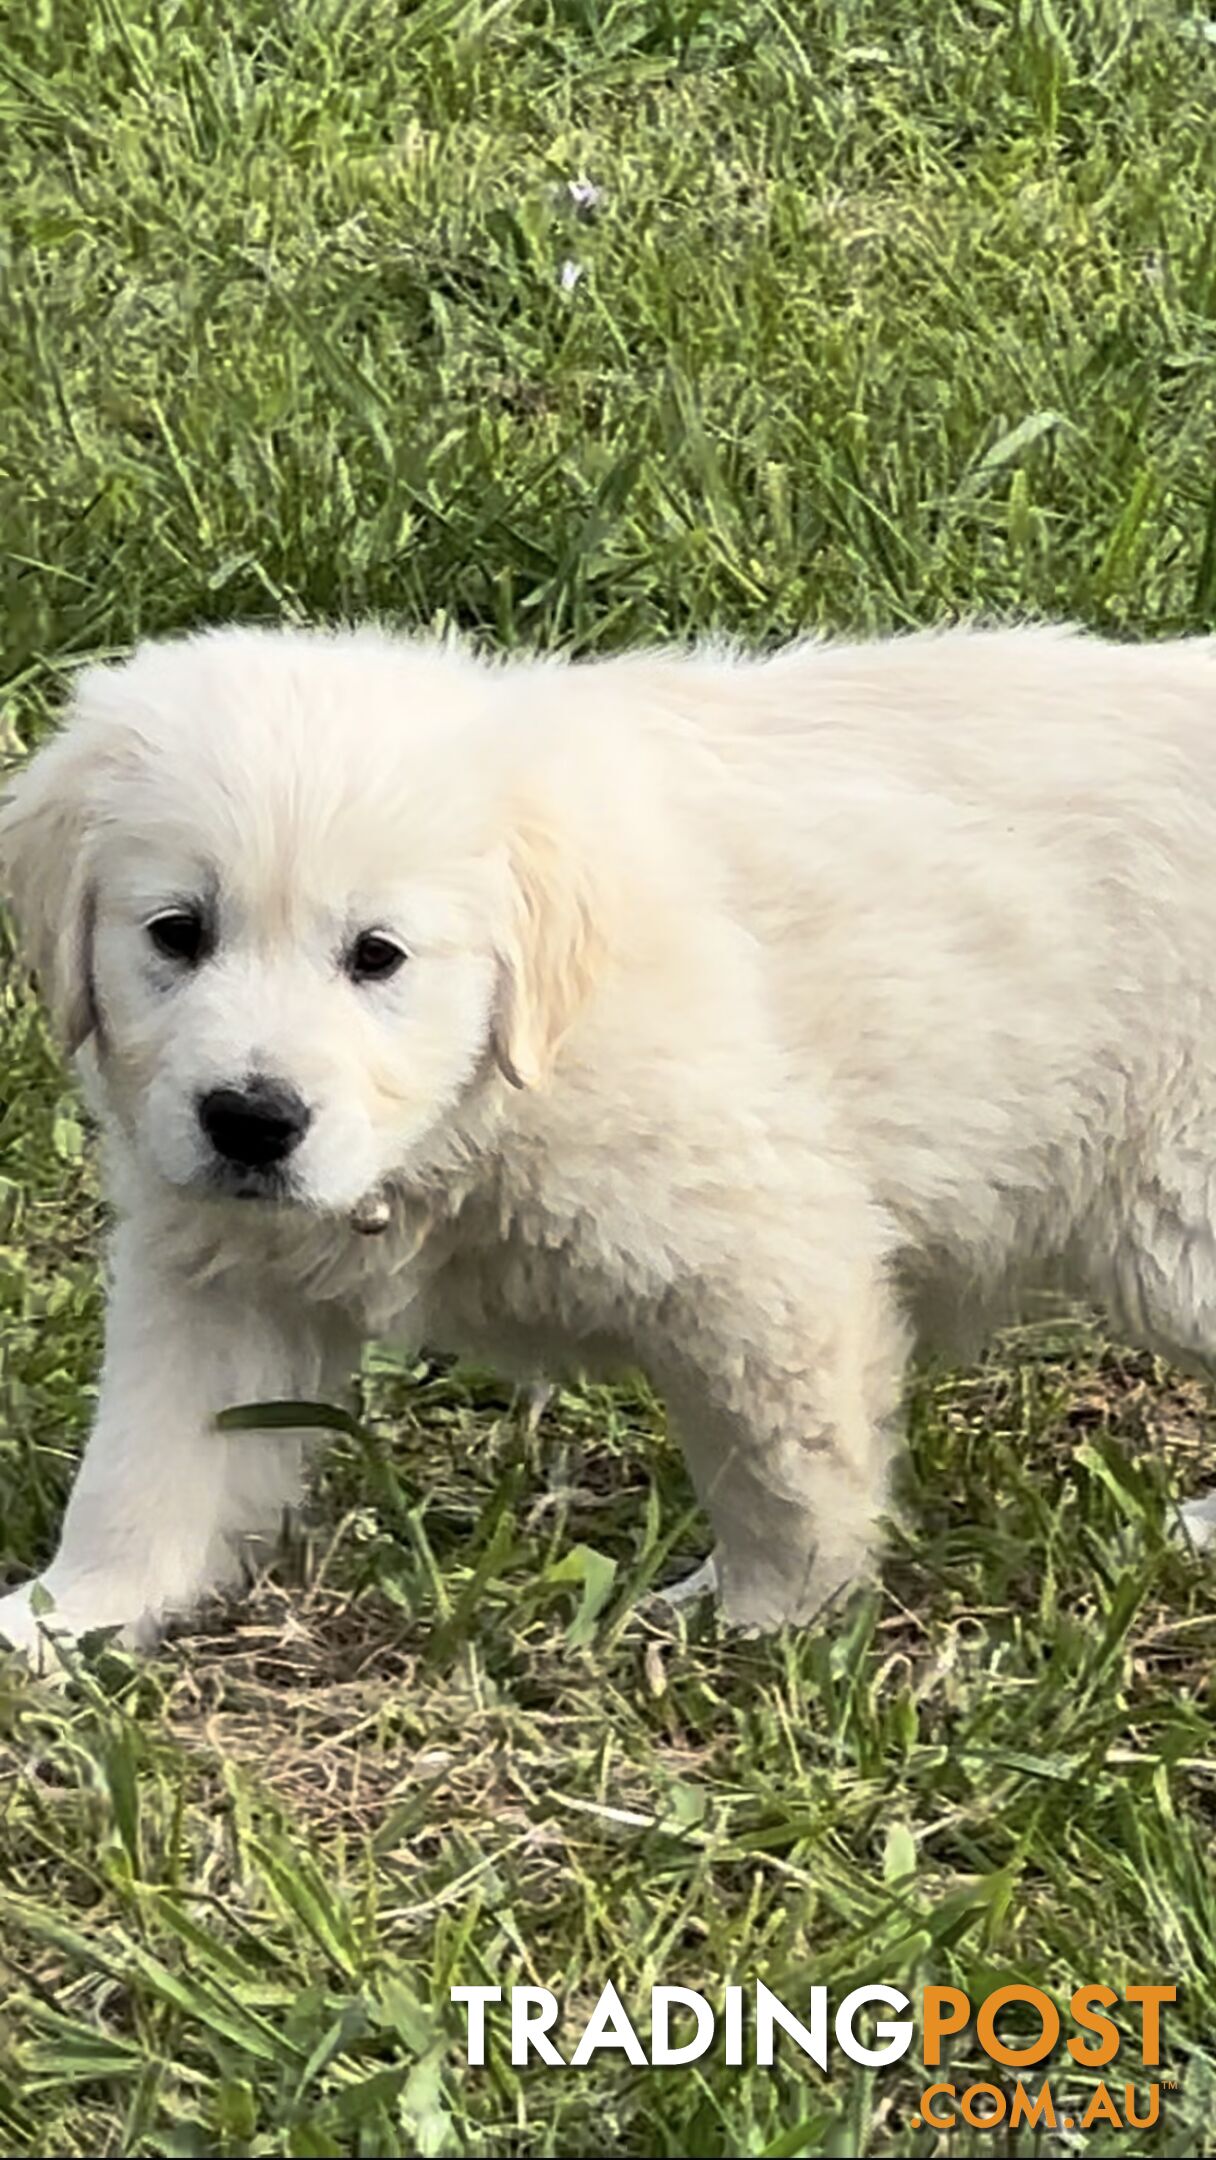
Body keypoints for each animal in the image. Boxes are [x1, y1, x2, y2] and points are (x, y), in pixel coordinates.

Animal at [2, 617, 1216, 1658]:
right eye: (178, 933)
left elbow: (782, 1472)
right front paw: (68, 1617)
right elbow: (148, 1464)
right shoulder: (218, 1273)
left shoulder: (764, 1261)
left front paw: (764, 1621)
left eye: (378, 955)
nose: (253, 1120)